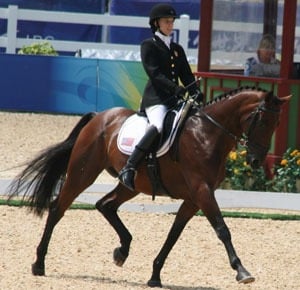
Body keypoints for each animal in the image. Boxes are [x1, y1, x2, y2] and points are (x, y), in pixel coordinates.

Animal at [7, 86, 290, 288]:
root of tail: (99, 117)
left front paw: (155, 274)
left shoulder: (194, 197)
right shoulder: (202, 191)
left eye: (277, 125)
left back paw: (122, 251)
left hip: (132, 184)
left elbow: (173, 235)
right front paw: (242, 271)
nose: (255, 161)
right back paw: (39, 264)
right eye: (262, 121)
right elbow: (222, 229)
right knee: (58, 208)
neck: (208, 133)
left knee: (105, 204)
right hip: (82, 173)